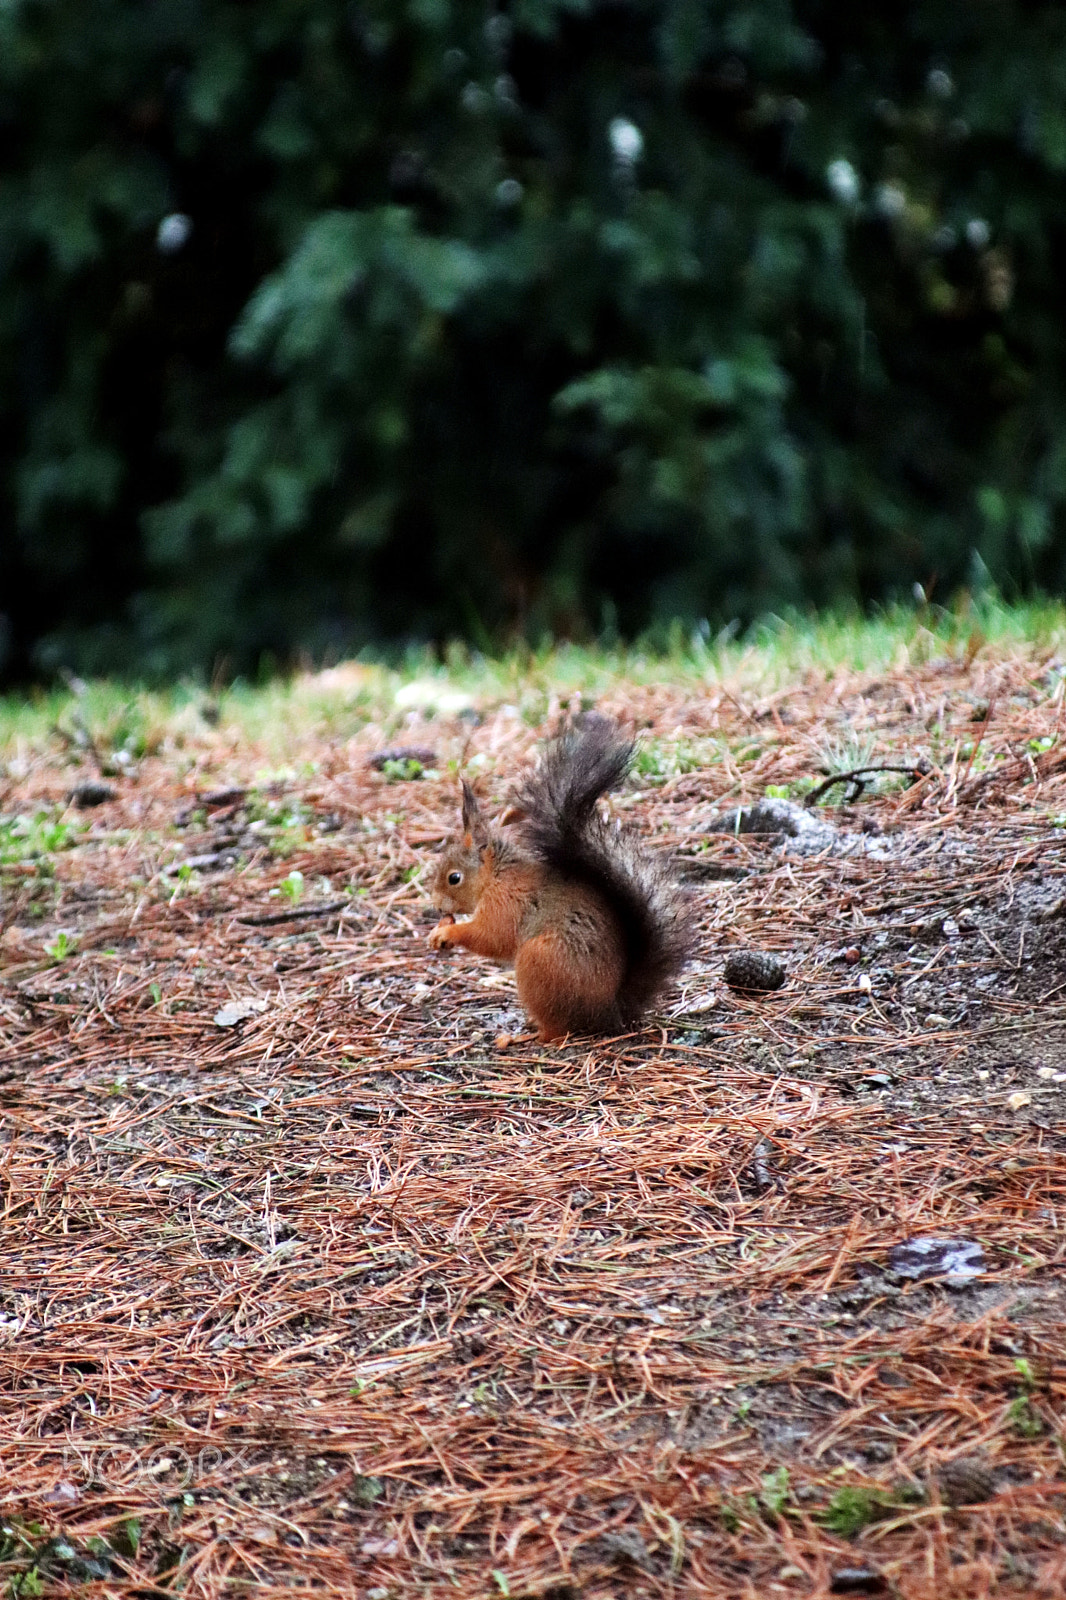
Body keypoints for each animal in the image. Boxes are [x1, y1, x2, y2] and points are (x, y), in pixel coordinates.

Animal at [425, 720, 688, 1043]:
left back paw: (528, 1035)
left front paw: (448, 933)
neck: (496, 876)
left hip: (539, 961)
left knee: (558, 1030)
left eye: (454, 878)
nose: (437, 907)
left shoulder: (507, 902)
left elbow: (492, 937)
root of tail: (609, 1012)